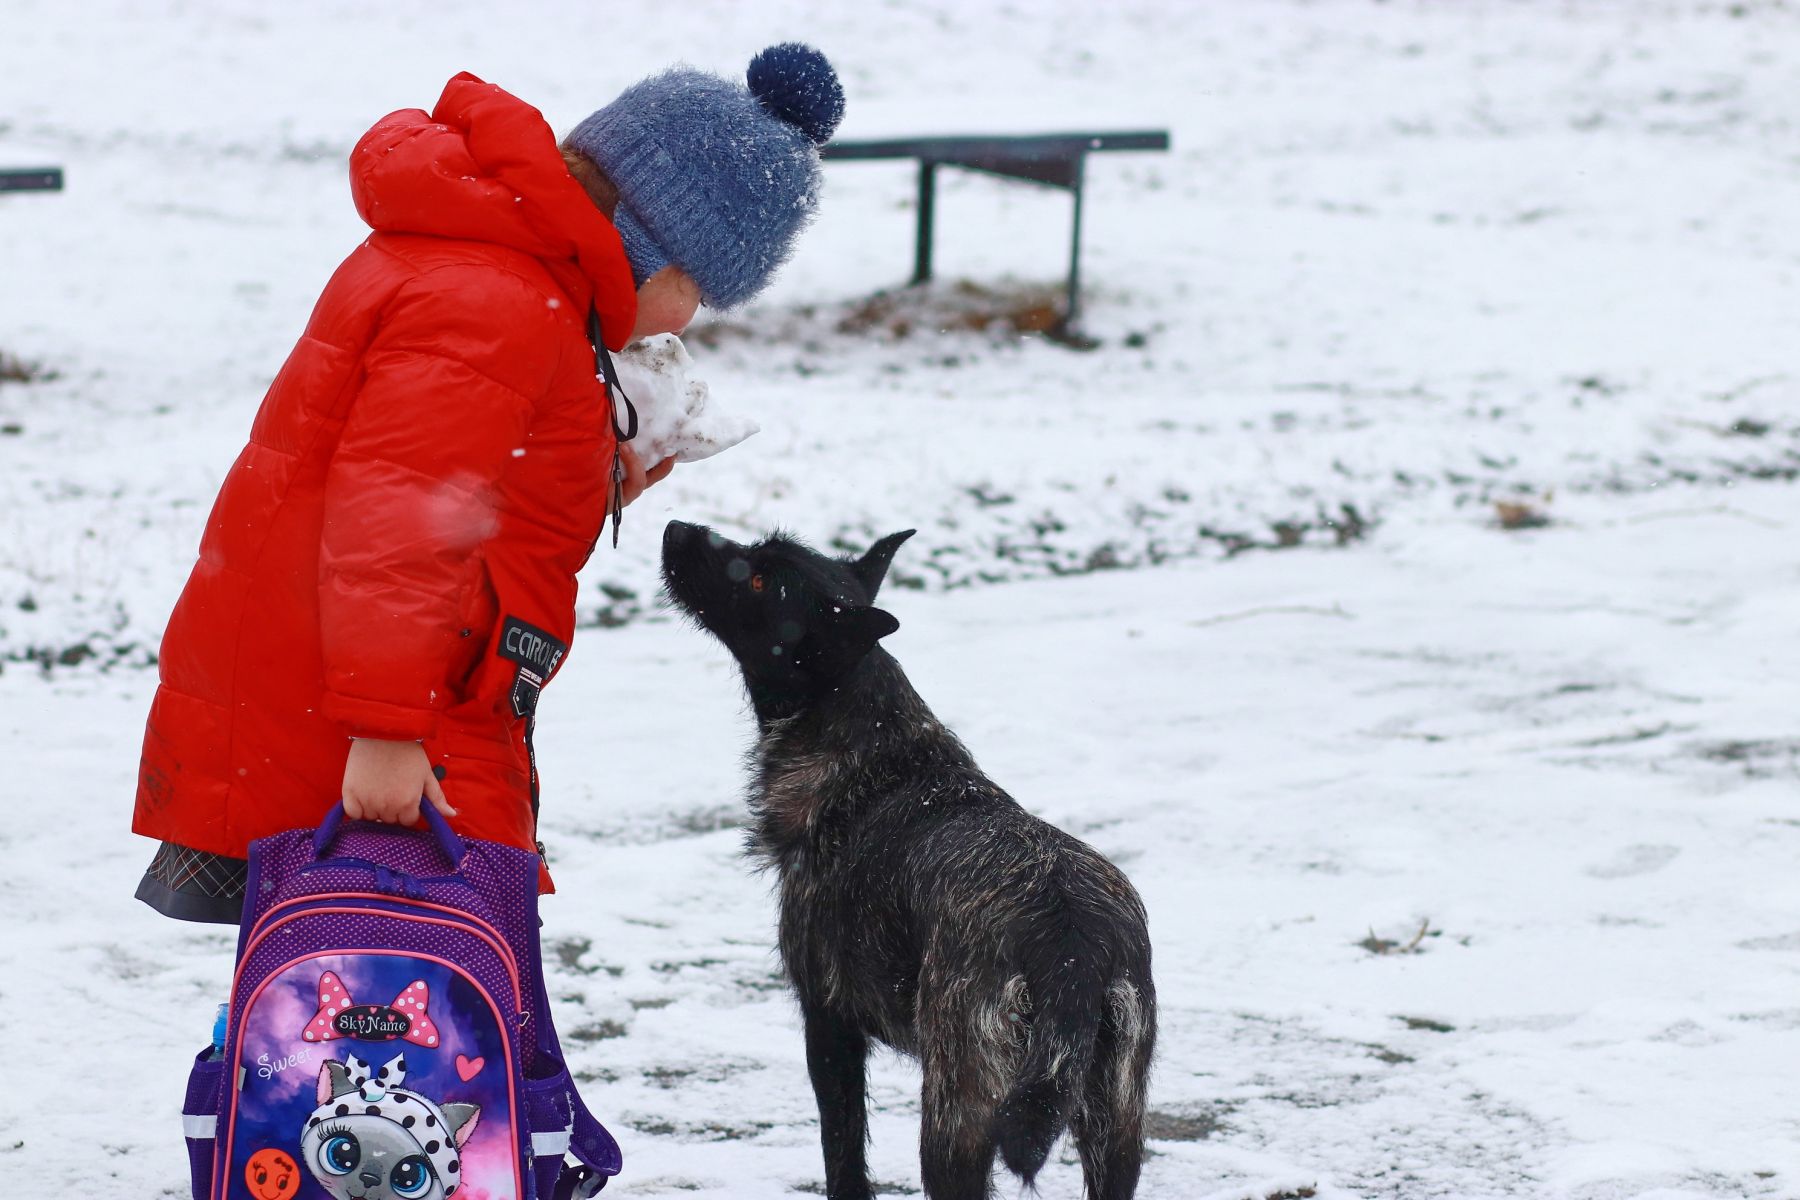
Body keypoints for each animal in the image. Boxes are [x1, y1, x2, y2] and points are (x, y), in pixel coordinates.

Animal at [662, 521, 1152, 1200]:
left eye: (758, 579)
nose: (674, 528)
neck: (874, 750)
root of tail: (1071, 946)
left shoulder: (829, 1024)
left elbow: (843, 1155)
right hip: (1113, 1126)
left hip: (954, 1114)